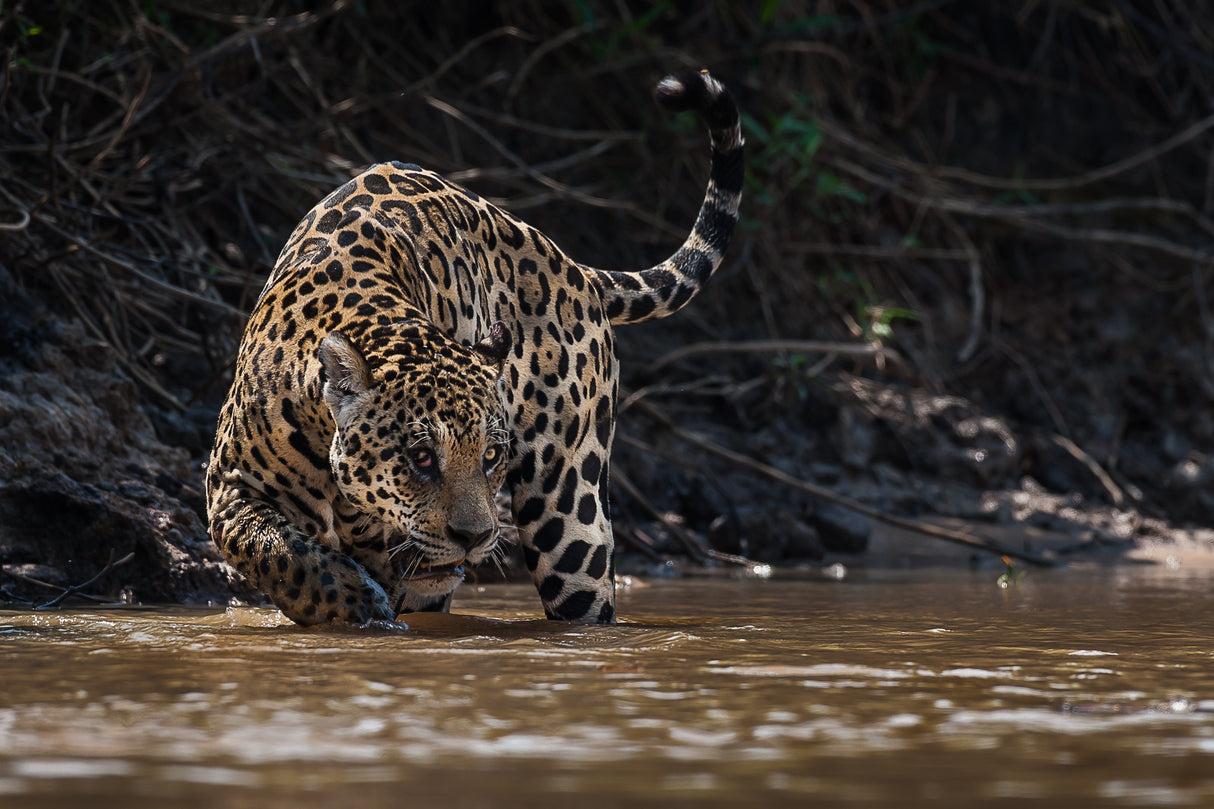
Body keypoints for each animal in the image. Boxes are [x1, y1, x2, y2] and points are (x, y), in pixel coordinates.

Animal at [205, 70, 743, 626]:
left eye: (489, 456)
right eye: (421, 457)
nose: (475, 536)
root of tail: (568, 262)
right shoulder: (232, 486)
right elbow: (280, 554)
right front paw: (357, 601)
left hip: (573, 515)